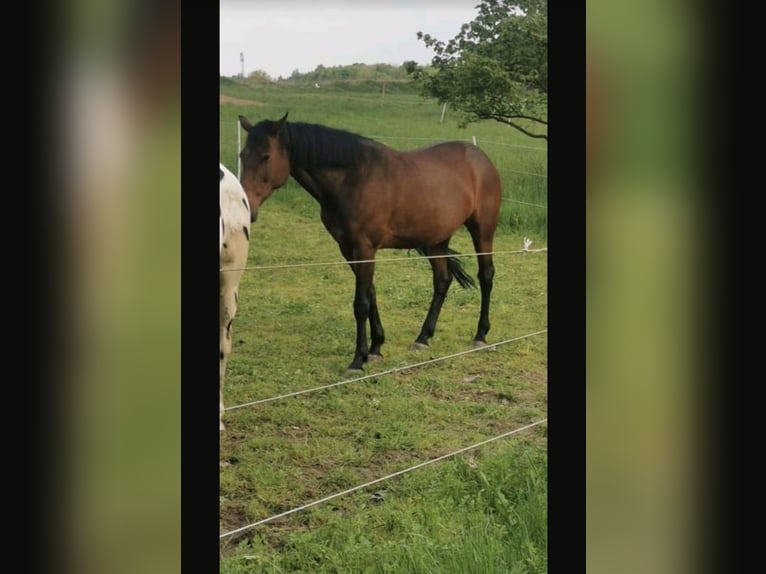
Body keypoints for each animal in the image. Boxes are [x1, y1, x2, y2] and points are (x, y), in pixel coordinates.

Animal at [240, 113, 504, 374]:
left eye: (266, 156)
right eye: (243, 155)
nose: (248, 208)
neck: (353, 179)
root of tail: (479, 157)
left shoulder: (365, 247)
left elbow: (361, 303)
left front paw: (358, 359)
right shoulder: (348, 248)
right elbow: (371, 294)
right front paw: (376, 348)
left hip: (482, 230)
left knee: (486, 276)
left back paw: (480, 335)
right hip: (437, 240)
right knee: (442, 280)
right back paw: (423, 338)